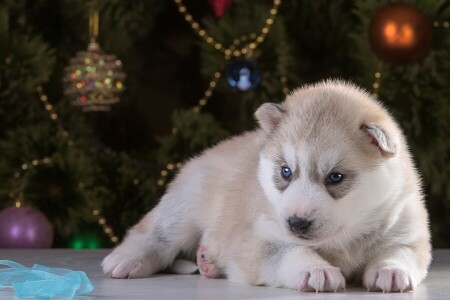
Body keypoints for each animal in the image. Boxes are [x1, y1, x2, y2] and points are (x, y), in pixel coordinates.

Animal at [103, 80, 430, 292]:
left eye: (335, 177)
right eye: (286, 172)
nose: (297, 222)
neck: (344, 239)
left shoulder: (406, 230)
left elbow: (400, 251)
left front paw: (391, 271)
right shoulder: (259, 238)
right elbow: (290, 252)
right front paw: (315, 269)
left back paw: (208, 261)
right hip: (185, 205)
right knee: (154, 233)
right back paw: (126, 259)